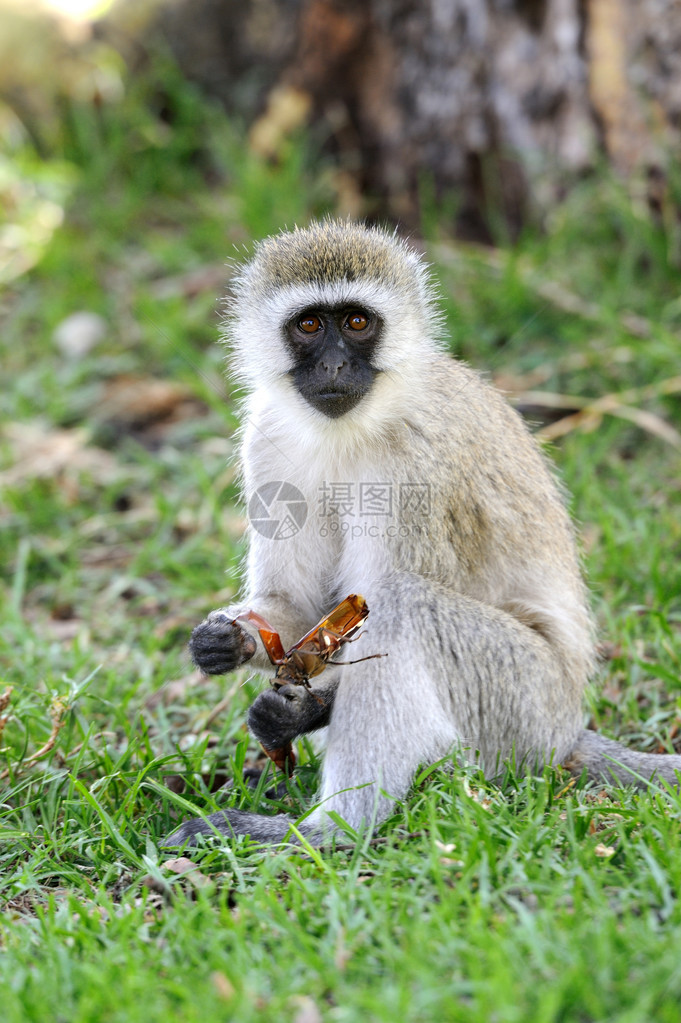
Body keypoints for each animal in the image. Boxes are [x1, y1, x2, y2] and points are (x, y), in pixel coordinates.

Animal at [164, 217, 678, 847]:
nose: (334, 368)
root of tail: (567, 729)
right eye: (309, 325)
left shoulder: (419, 463)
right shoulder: (266, 438)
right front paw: (225, 640)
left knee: (403, 604)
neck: (355, 426)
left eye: (357, 323)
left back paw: (326, 832)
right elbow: (298, 608)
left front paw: (300, 714)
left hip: (523, 702)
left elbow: (373, 607)